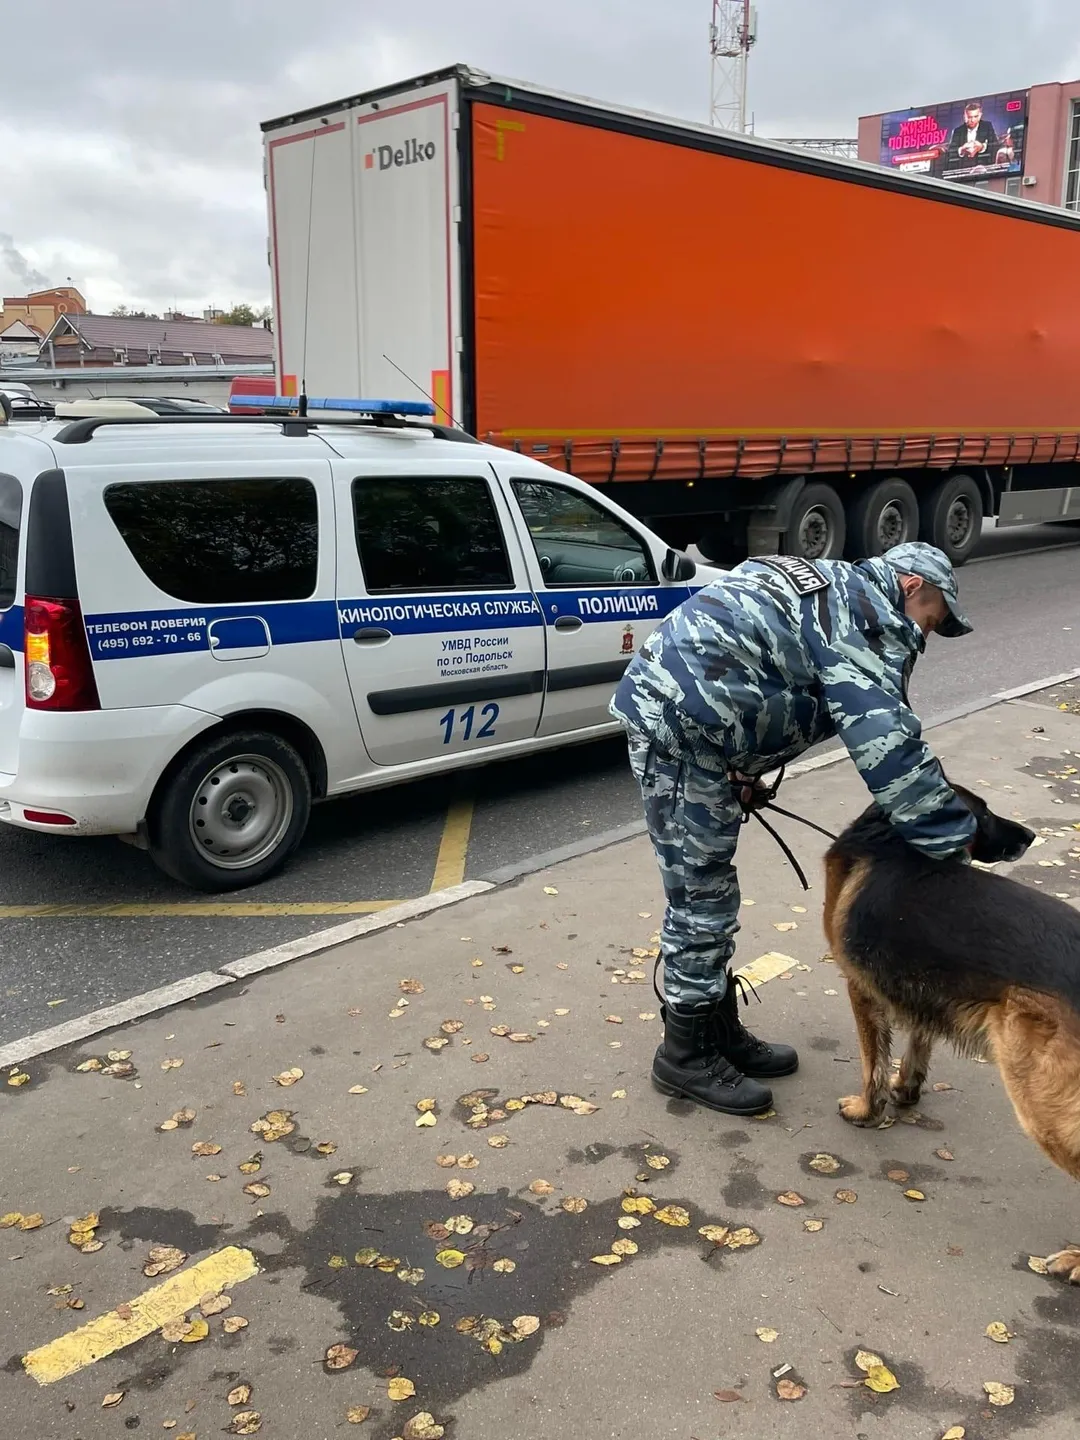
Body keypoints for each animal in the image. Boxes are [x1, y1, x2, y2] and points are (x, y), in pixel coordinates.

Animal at [829, 783, 1080, 1290]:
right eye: (982, 814)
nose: (1029, 836)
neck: (893, 840)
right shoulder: (926, 992)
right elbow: (919, 1041)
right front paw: (906, 1090)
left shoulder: (860, 990)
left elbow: (872, 1063)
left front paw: (867, 1110)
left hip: (1041, 1102)